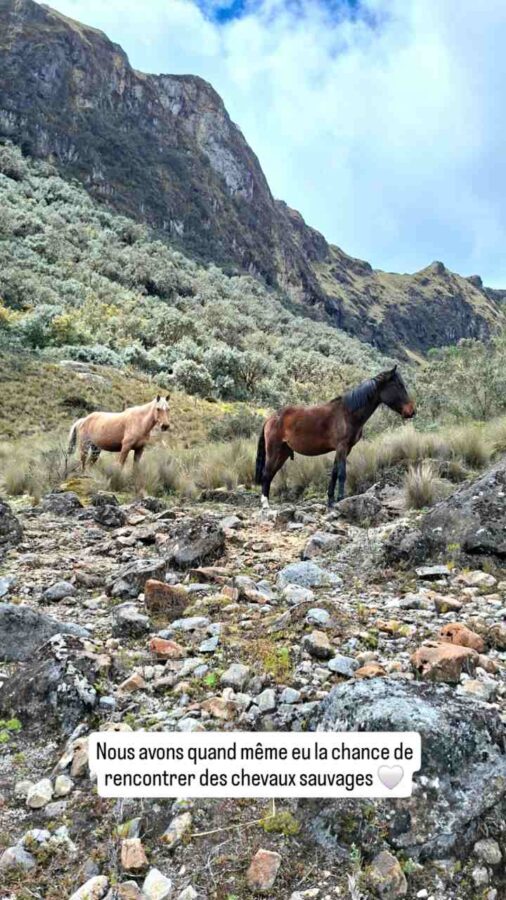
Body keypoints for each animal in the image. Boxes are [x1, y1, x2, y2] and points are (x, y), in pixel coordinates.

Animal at [255, 366, 415, 509]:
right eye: (398, 385)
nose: (411, 411)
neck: (347, 413)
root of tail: (271, 418)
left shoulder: (345, 449)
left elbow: (334, 472)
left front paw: (331, 501)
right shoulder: (342, 447)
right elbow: (342, 473)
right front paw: (340, 499)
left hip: (282, 453)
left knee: (270, 475)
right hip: (274, 451)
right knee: (266, 474)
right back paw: (265, 505)